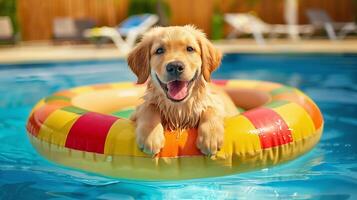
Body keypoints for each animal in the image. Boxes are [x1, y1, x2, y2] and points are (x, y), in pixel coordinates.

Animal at [126, 25, 238, 155]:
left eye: (190, 49)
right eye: (159, 50)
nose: (175, 66)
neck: (179, 109)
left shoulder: (217, 104)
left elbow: (212, 108)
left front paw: (211, 136)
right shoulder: (139, 110)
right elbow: (149, 107)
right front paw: (150, 136)